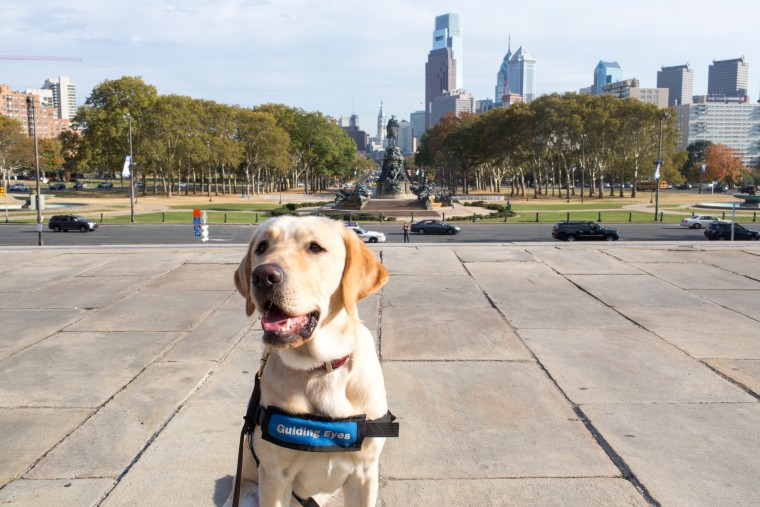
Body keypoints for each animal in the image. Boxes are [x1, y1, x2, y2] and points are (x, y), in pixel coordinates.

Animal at [227, 216, 398, 506]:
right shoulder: (274, 477)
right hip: (248, 494)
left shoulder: (364, 473)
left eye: (315, 247)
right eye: (262, 247)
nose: (262, 276)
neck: (321, 368)